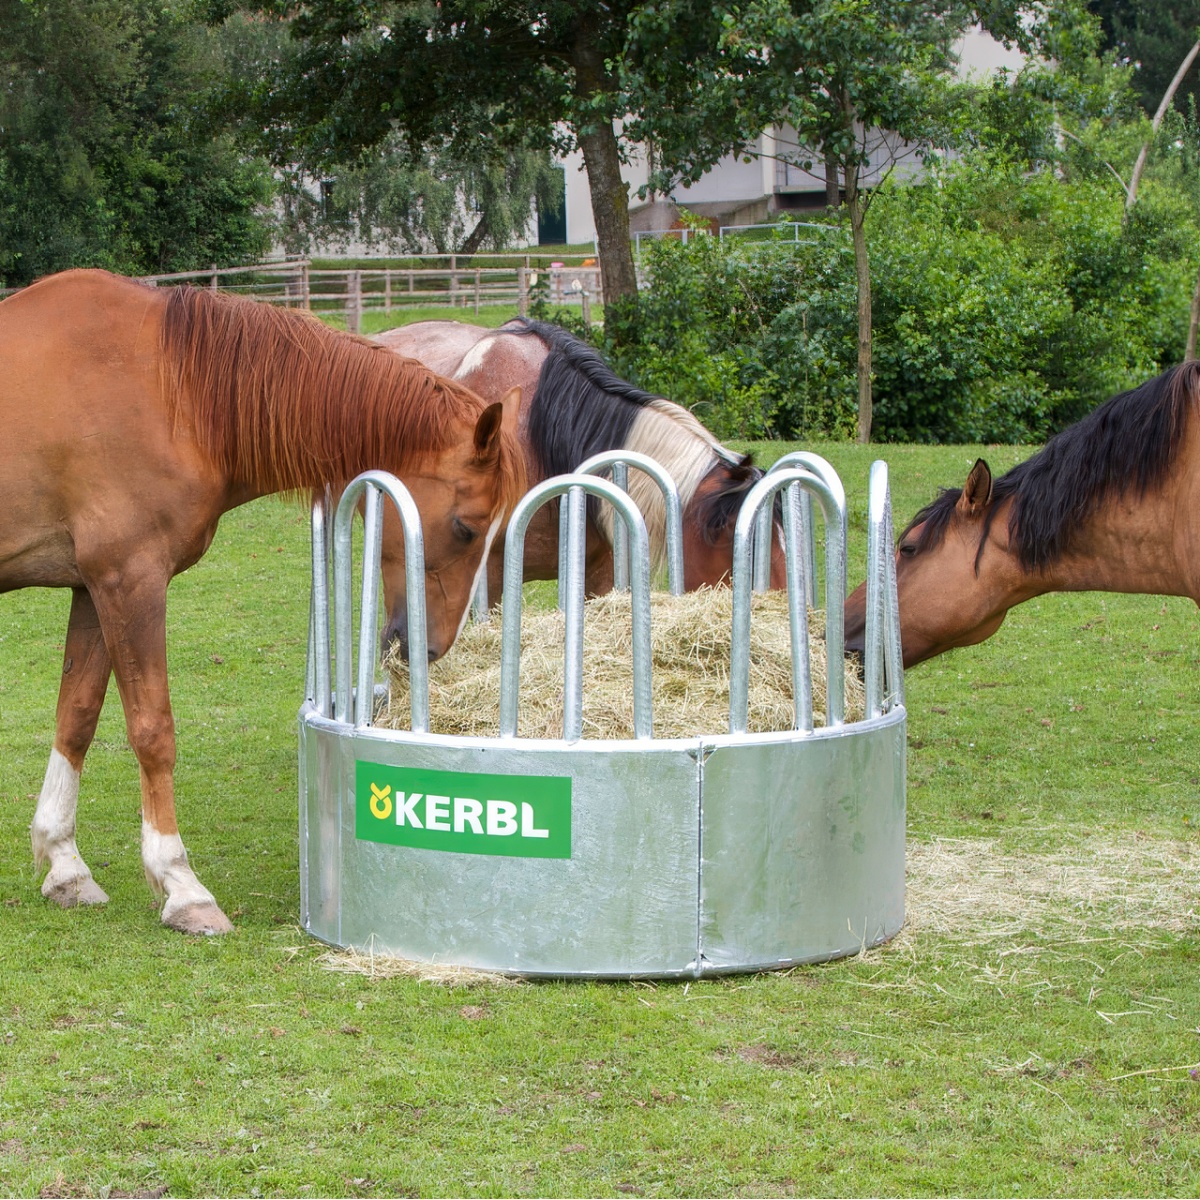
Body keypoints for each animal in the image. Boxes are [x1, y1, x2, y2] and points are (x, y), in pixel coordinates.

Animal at [1, 270, 525, 936]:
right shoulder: (129, 580)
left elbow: (77, 717)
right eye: (466, 527)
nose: (427, 647)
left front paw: (64, 865)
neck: (168, 389)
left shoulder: (92, 589)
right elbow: (152, 730)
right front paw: (181, 886)